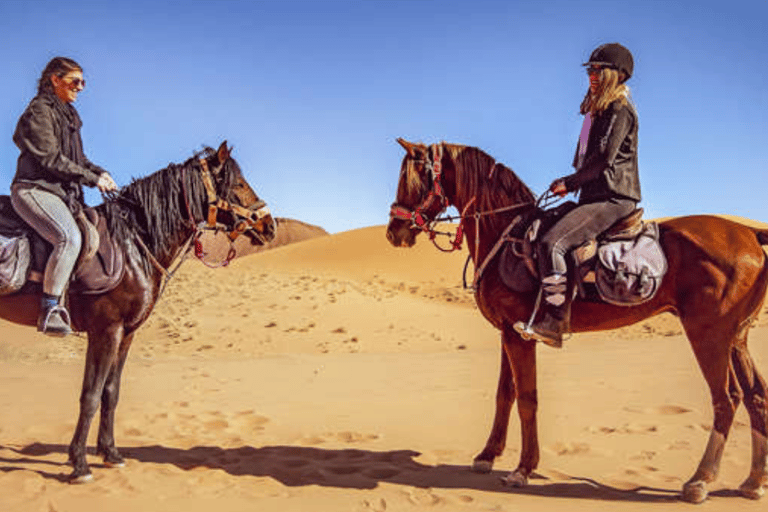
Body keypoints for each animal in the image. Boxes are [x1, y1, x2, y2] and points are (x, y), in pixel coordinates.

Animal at [0, 141, 276, 483]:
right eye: (237, 184)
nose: (270, 226)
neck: (134, 244)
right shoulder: (106, 331)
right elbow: (91, 395)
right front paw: (79, 464)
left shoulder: (127, 333)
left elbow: (110, 392)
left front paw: (111, 453)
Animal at [386, 138, 768, 504]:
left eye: (413, 179)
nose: (394, 232)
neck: (503, 234)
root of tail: (750, 234)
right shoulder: (507, 332)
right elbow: (504, 394)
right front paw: (487, 455)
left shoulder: (520, 335)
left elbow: (527, 398)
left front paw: (523, 468)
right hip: (736, 336)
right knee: (756, 397)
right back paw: (752, 482)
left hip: (708, 333)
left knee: (726, 399)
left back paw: (700, 480)